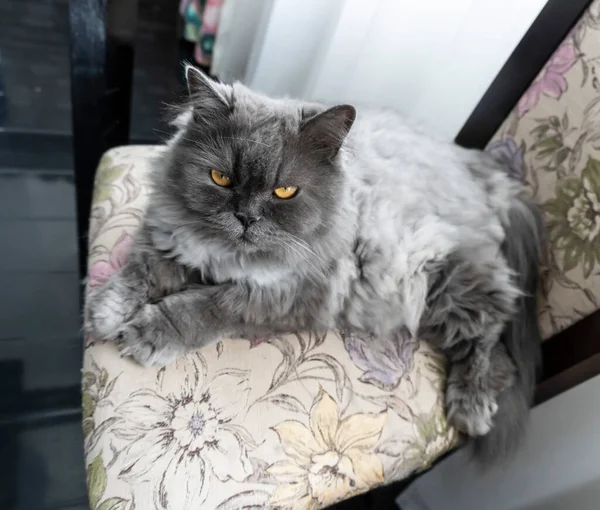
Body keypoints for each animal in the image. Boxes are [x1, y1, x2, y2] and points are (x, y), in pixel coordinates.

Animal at [86, 65, 548, 460]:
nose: (246, 217)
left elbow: (201, 307)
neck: (228, 255)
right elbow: (138, 273)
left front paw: (147, 332)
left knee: (492, 329)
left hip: (443, 279)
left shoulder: (284, 295)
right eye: (222, 179)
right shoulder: (167, 240)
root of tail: (482, 168)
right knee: (501, 354)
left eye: (284, 191)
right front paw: (103, 312)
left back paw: (472, 407)